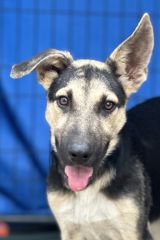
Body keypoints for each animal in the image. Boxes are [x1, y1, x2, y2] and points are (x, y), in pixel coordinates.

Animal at [10, 13, 160, 240]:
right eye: (63, 100)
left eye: (108, 105)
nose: (79, 154)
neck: (90, 189)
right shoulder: (69, 229)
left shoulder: (135, 231)